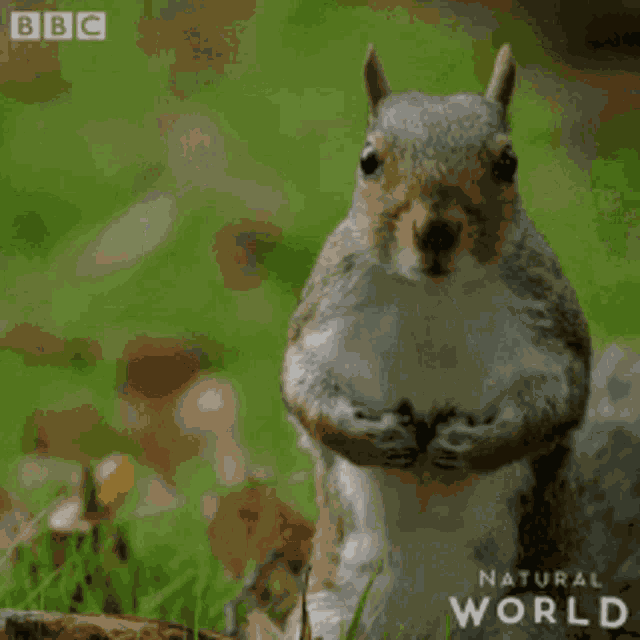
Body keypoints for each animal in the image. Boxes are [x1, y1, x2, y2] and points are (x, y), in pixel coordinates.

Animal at [280, 44, 594, 640]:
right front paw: (369, 437)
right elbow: (304, 385)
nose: (436, 231)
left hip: (529, 621)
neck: (433, 293)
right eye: (369, 161)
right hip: (326, 614)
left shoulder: (548, 322)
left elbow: (558, 400)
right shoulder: (327, 309)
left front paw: (477, 445)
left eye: (508, 163)